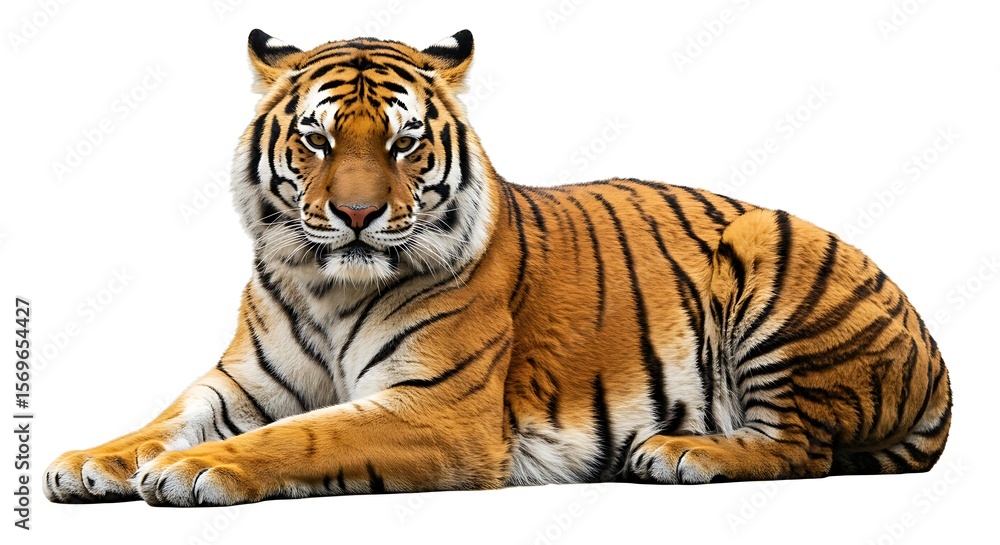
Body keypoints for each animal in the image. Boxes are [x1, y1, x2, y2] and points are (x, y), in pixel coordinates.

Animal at [45, 29, 951, 506]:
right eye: (318, 140)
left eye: (404, 143)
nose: (358, 215)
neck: (327, 282)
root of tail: (937, 361)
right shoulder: (242, 385)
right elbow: (163, 418)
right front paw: (87, 459)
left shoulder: (436, 407)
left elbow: (305, 434)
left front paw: (197, 467)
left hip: (767, 249)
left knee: (804, 448)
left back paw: (683, 452)